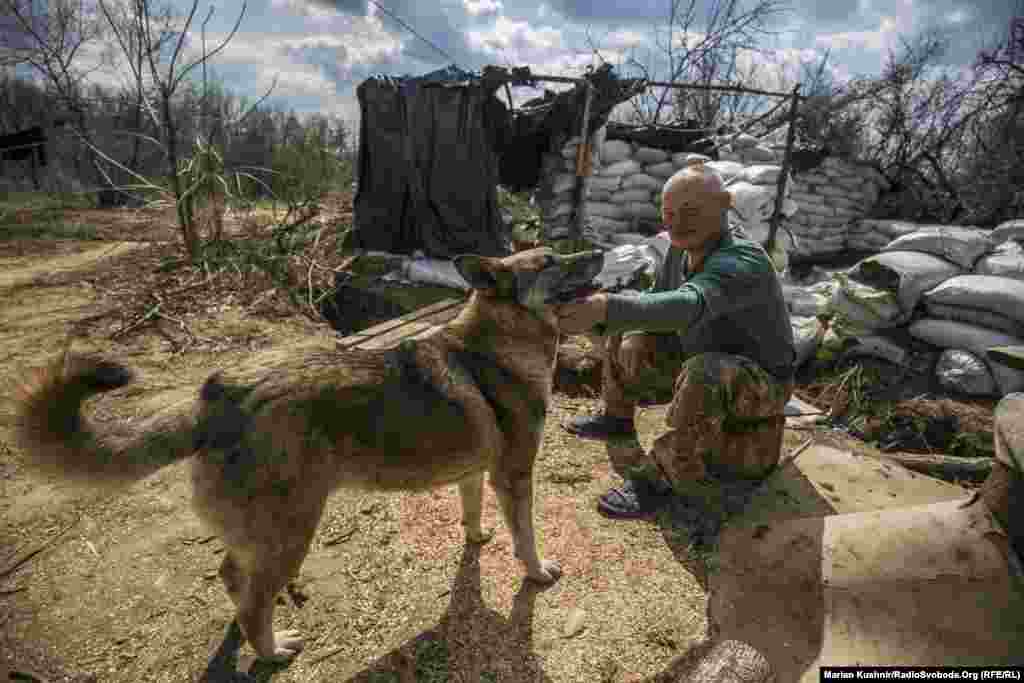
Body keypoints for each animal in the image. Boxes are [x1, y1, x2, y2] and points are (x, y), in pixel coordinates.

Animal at [12, 248, 602, 663]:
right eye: (550, 261)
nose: (598, 249)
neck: (496, 343)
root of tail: (218, 396)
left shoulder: (476, 474)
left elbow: (472, 513)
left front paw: (477, 537)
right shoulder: (515, 476)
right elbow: (526, 537)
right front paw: (537, 571)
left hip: (264, 532)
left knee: (233, 577)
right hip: (294, 531)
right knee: (253, 600)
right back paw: (272, 650)